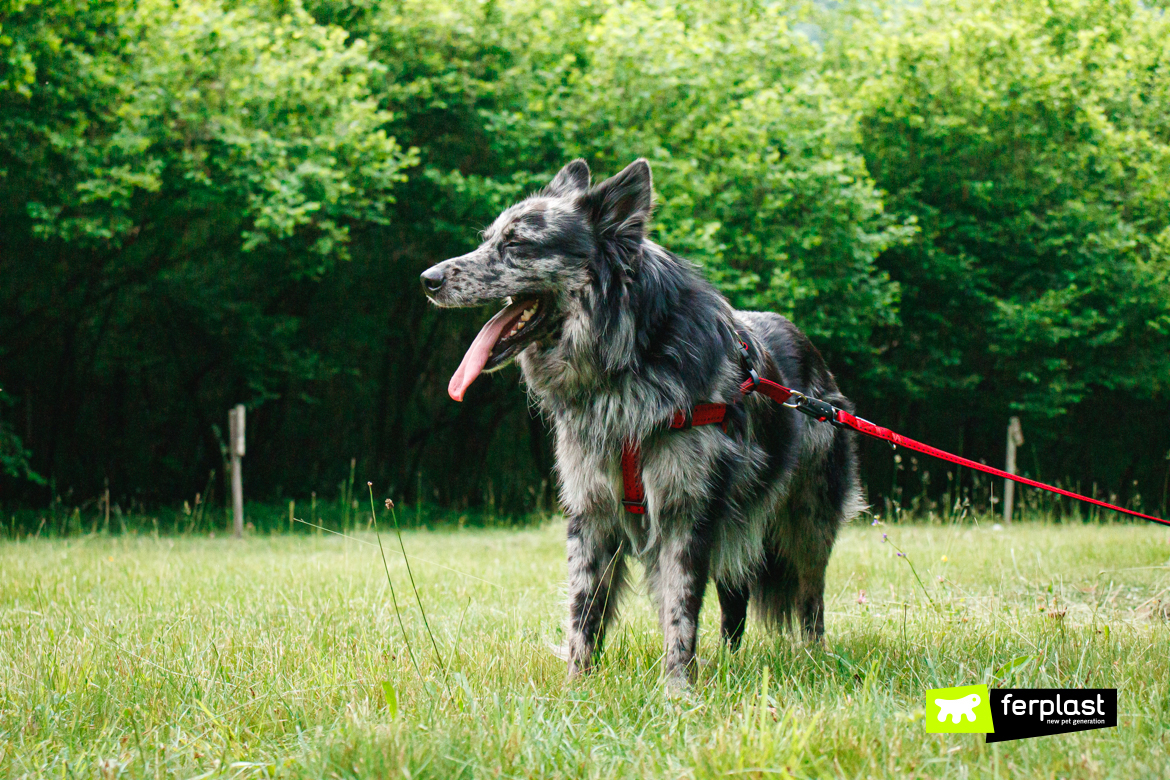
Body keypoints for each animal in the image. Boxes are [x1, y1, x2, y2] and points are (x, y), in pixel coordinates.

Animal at [425, 161, 865, 687]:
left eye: (516, 244)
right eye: (488, 239)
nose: (427, 279)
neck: (626, 358)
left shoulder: (686, 511)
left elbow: (680, 611)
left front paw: (678, 690)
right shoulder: (591, 513)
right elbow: (583, 613)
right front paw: (576, 687)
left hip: (806, 525)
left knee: (809, 600)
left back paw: (812, 659)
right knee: (735, 605)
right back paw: (730, 662)